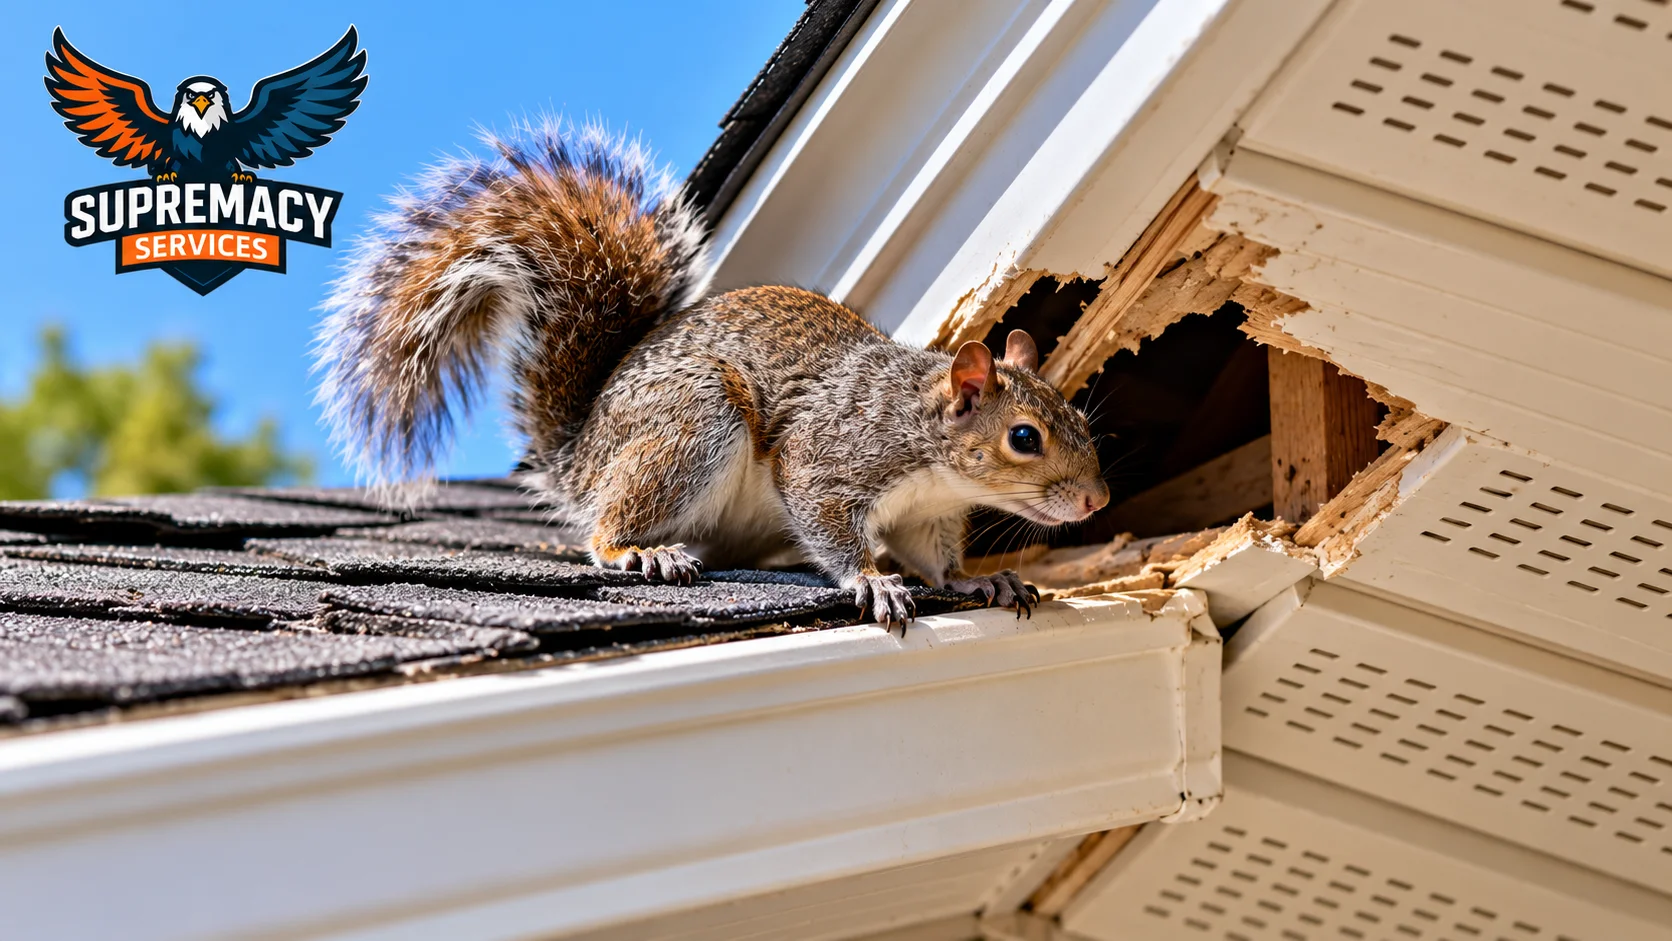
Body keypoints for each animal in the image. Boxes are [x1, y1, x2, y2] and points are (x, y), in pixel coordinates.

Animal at [316, 123, 1110, 626]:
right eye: (1025, 438)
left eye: (1080, 419)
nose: (1097, 500)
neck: (925, 444)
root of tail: (581, 454)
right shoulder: (830, 459)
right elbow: (826, 520)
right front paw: (872, 581)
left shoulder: (929, 515)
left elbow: (939, 562)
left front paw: (980, 578)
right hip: (692, 424)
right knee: (604, 529)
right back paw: (643, 549)